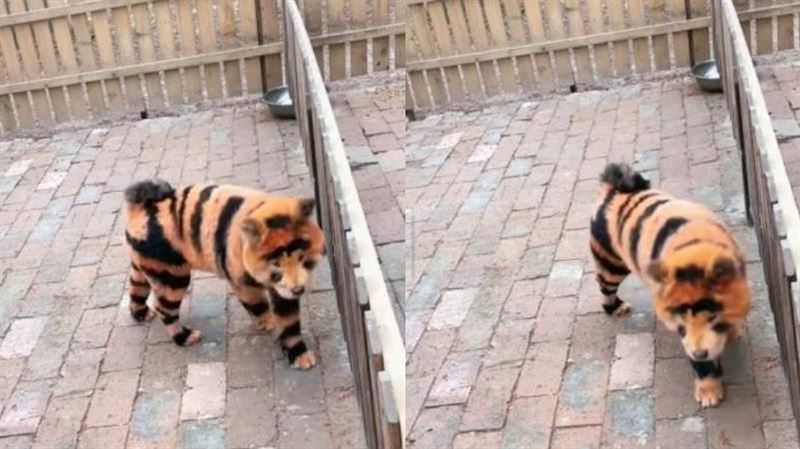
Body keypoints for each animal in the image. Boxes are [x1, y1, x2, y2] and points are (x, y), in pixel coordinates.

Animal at [123, 179, 325, 370]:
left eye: (301, 257)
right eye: (276, 264)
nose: (299, 290)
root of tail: (140, 208)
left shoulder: (282, 290)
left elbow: (289, 322)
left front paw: (301, 358)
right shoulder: (242, 283)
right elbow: (259, 307)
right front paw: (269, 324)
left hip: (147, 265)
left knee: (136, 288)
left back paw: (142, 315)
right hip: (172, 275)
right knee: (164, 308)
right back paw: (186, 337)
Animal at [590, 163, 751, 407]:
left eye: (712, 317)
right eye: (681, 320)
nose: (699, 353)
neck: (695, 249)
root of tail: (613, 190)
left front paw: (733, 331)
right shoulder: (688, 338)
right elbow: (703, 365)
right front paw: (709, 393)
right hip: (612, 262)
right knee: (604, 284)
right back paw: (616, 308)